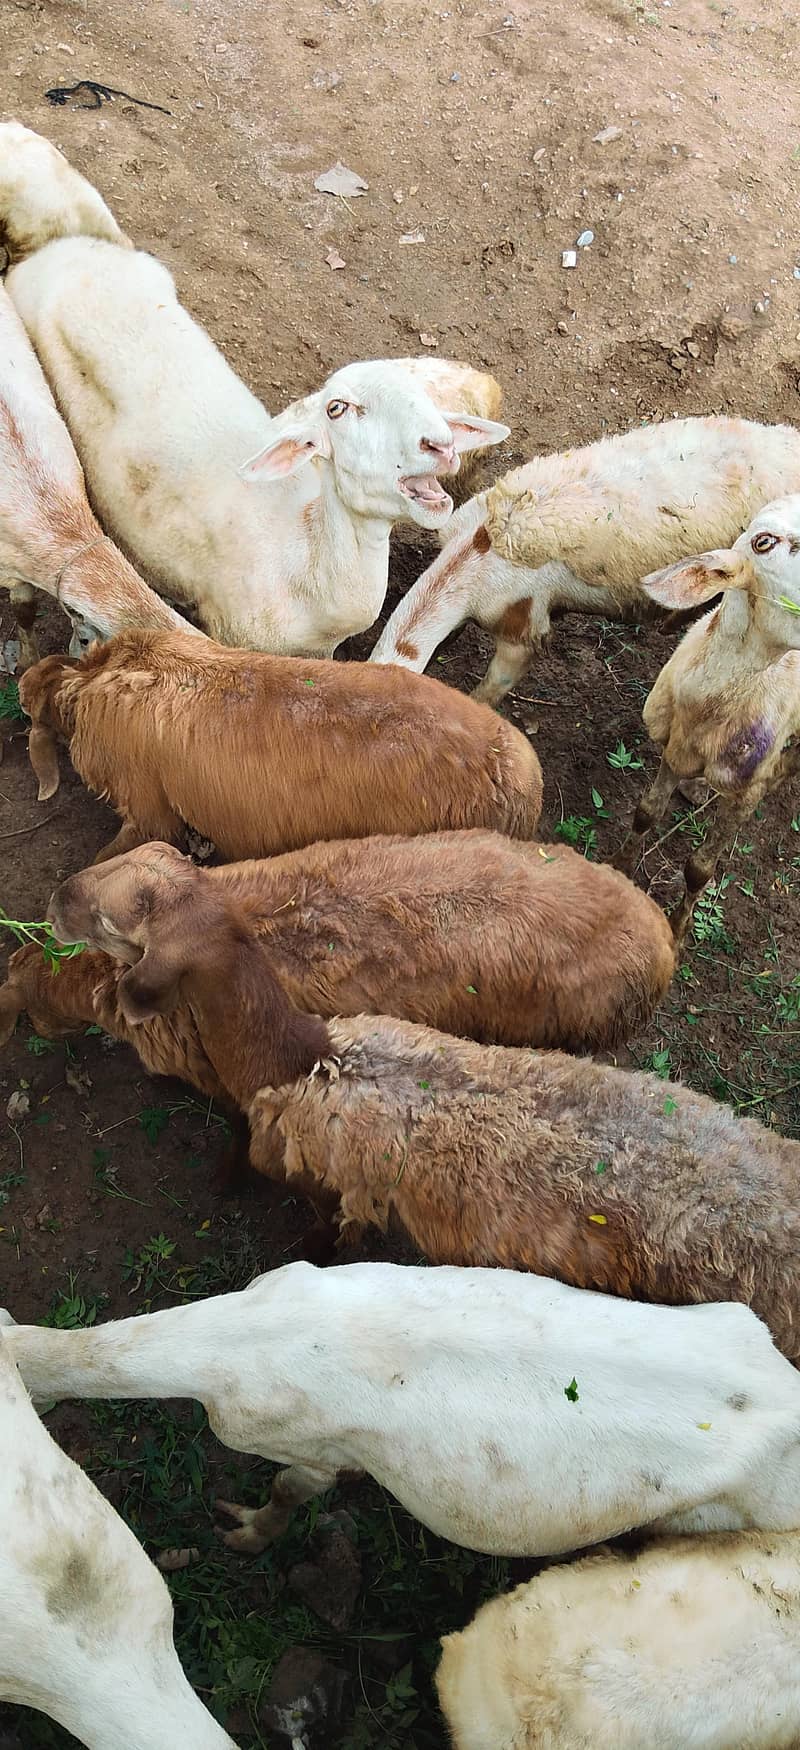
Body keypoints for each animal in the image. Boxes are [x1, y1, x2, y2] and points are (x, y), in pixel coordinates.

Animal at [618, 495, 800, 944]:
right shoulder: (672, 746)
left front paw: (677, 930)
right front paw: (619, 868)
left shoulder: (745, 793)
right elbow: (646, 812)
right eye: (763, 542)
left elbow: (700, 869)